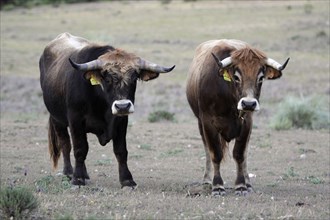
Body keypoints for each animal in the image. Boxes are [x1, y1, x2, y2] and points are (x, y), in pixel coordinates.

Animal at [39, 33, 175, 187]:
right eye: (107, 78)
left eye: (134, 78)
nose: (122, 106)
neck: (100, 101)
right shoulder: (75, 120)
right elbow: (80, 149)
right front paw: (77, 178)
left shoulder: (121, 121)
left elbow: (121, 151)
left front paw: (127, 180)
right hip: (57, 120)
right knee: (66, 144)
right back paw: (69, 172)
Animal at [186, 39, 288, 196]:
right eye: (236, 77)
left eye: (261, 77)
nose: (249, 104)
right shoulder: (207, 123)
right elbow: (215, 153)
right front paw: (217, 185)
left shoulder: (247, 123)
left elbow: (240, 154)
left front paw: (241, 185)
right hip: (200, 124)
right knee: (207, 150)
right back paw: (207, 180)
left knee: (244, 154)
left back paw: (248, 182)